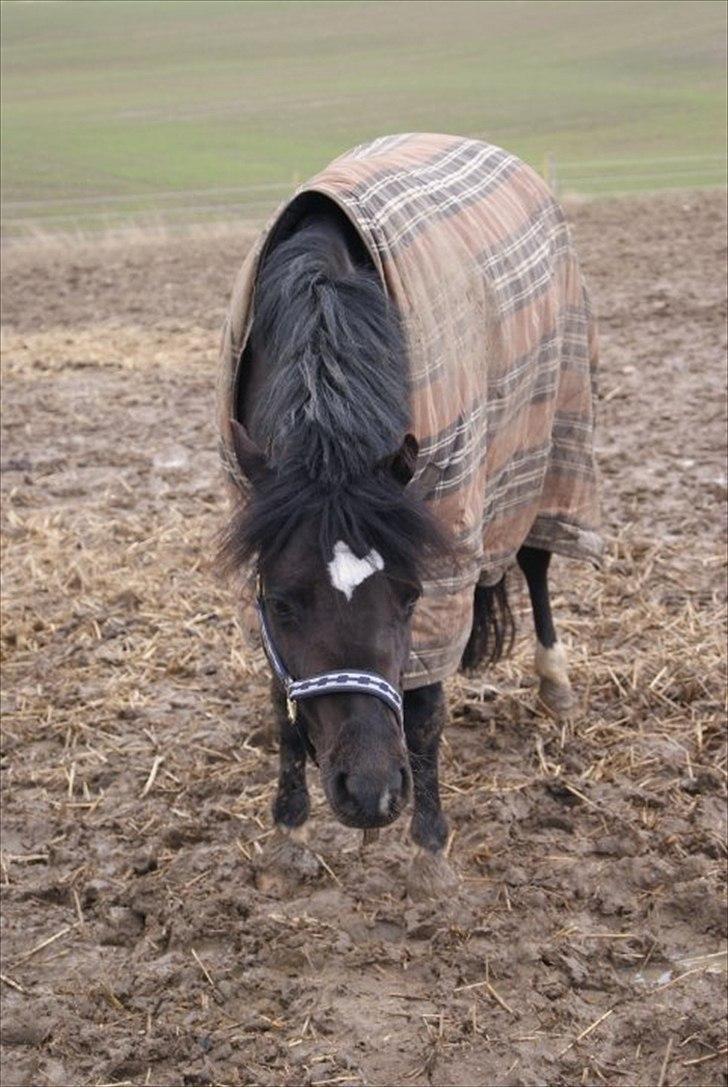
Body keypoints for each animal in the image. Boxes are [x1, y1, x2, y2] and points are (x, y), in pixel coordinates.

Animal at [218, 134, 601, 891]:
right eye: (280, 603)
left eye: (409, 595)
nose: (369, 795)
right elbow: (281, 698)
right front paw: (290, 829)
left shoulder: (447, 539)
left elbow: (423, 709)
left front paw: (429, 846)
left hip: (546, 448)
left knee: (537, 560)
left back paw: (555, 682)